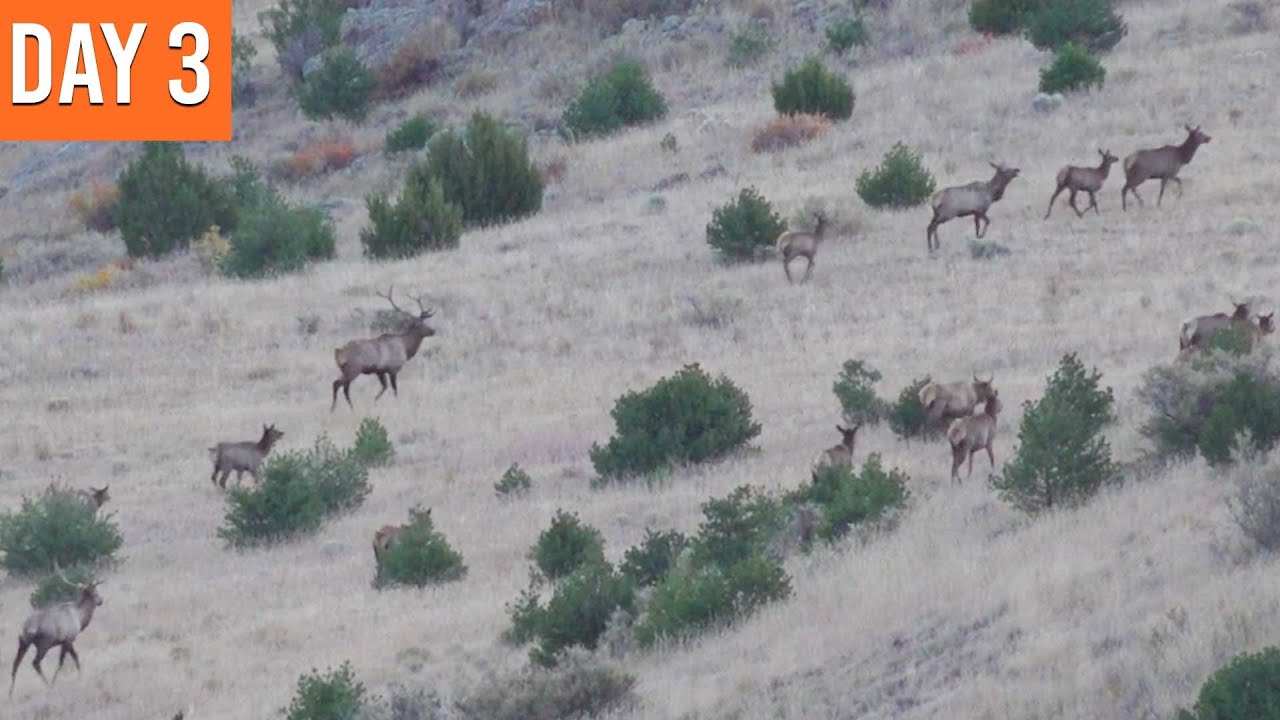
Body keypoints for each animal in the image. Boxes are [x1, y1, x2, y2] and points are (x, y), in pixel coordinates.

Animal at [9, 561, 103, 698]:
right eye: (96, 591)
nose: (101, 600)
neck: (80, 618)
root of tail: (27, 629)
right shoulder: (68, 639)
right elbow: (62, 662)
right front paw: (55, 682)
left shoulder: (68, 641)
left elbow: (75, 657)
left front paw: (80, 676)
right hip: (44, 644)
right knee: (35, 663)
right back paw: (48, 684)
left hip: (23, 643)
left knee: (16, 663)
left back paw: (10, 693)